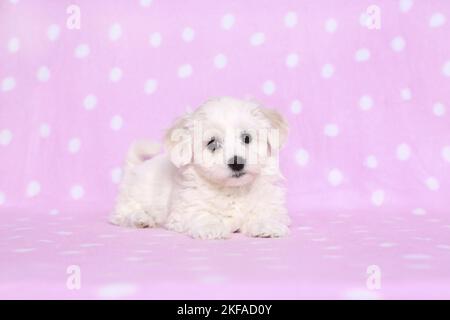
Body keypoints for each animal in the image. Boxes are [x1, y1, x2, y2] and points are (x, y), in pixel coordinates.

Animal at [110, 96, 290, 239]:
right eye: (212, 143)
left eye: (247, 138)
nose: (236, 163)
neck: (234, 190)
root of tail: (135, 168)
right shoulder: (185, 209)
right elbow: (201, 214)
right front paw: (211, 226)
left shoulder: (269, 202)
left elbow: (266, 213)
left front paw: (267, 225)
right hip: (133, 196)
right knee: (122, 213)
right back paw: (140, 219)